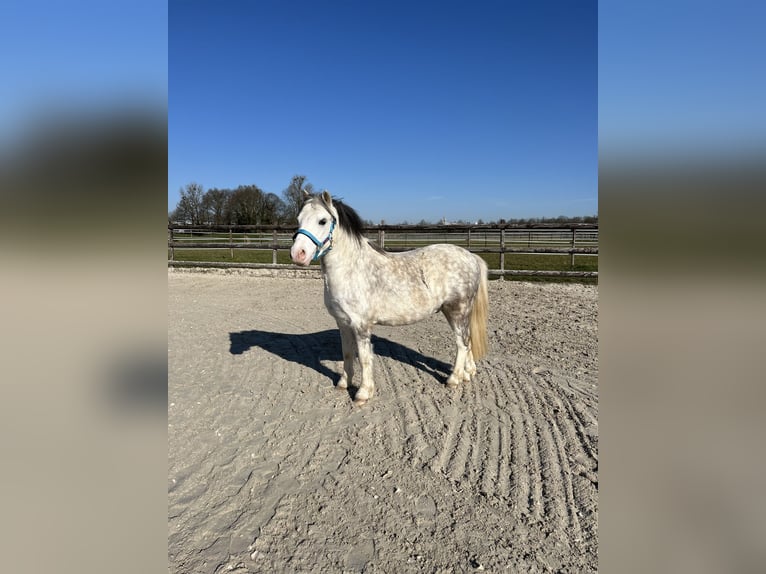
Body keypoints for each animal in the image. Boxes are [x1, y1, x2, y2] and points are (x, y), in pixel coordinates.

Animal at [292, 190, 488, 404]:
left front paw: (363, 393)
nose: (298, 254)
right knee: (468, 341)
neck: (351, 269)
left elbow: (364, 357)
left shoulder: (361, 325)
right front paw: (344, 383)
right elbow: (347, 353)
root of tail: (470, 256)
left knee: (462, 343)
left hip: (457, 310)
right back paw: (468, 373)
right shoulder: (343, 323)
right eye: (299, 219)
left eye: (322, 221)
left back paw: (454, 379)